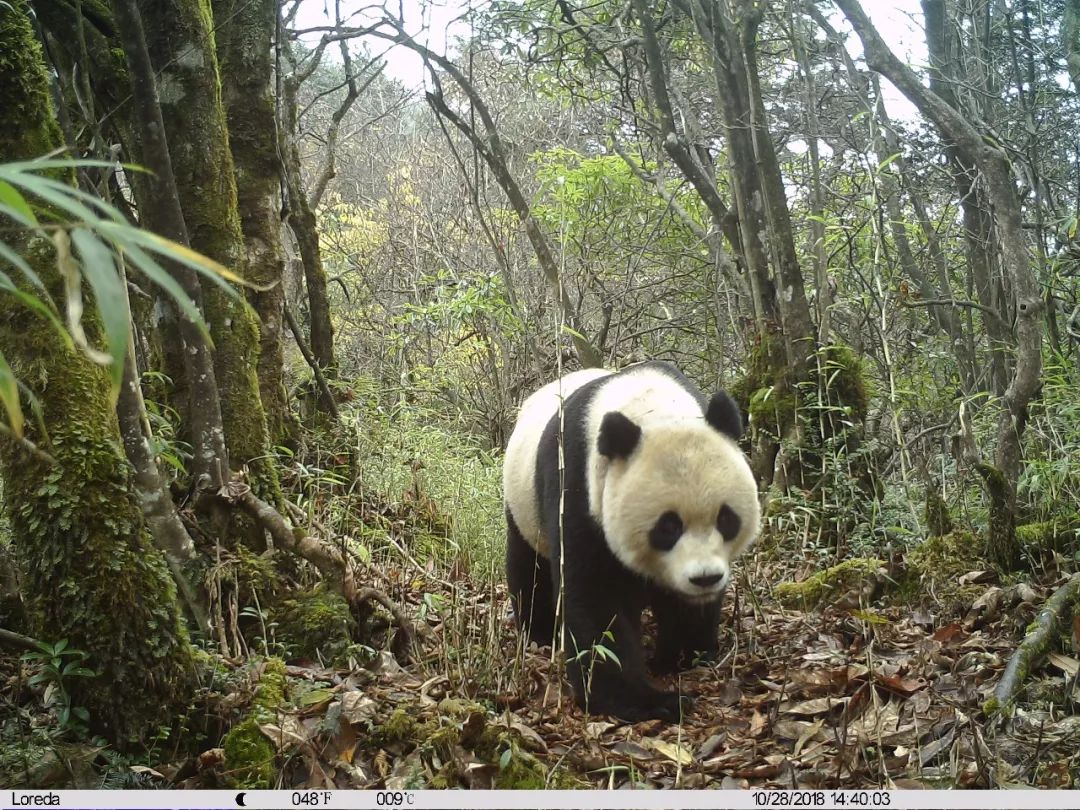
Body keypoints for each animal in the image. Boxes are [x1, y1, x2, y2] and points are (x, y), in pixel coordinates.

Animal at [503, 361, 760, 722]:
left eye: (726, 519)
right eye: (668, 527)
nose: (705, 578)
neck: (653, 409)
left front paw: (682, 656)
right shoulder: (578, 489)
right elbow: (597, 599)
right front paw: (648, 700)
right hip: (522, 502)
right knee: (529, 566)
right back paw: (539, 633)